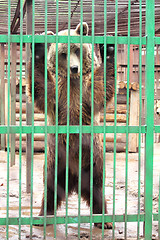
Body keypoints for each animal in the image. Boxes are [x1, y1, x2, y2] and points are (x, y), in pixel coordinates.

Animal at [28, 22, 114, 229]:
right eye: (63, 53)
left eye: (77, 49)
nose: (75, 68)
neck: (72, 82)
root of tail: (75, 181)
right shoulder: (58, 96)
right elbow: (41, 87)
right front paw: (39, 48)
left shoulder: (86, 94)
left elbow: (102, 88)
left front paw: (108, 49)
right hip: (55, 160)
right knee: (50, 189)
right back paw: (43, 216)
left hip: (94, 160)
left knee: (98, 189)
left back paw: (104, 220)